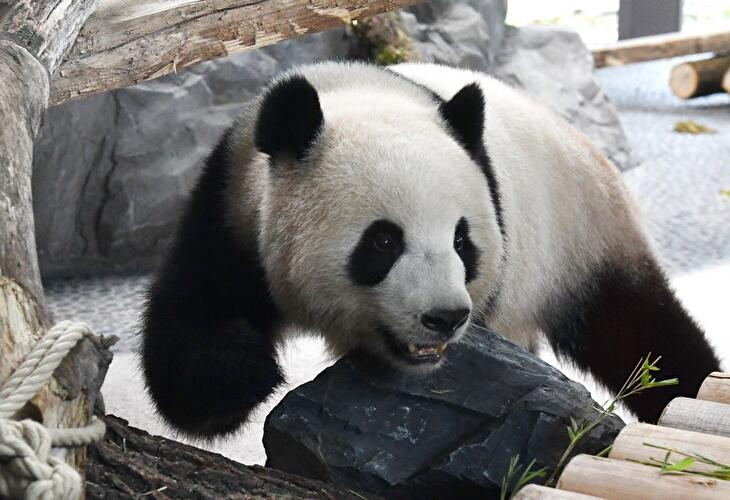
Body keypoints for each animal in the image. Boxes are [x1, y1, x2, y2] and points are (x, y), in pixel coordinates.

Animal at [141, 61, 720, 438]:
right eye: (383, 240)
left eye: (462, 241)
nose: (444, 317)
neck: (353, 93)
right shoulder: (232, 209)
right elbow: (191, 329)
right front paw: (245, 368)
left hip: (580, 233)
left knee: (640, 332)